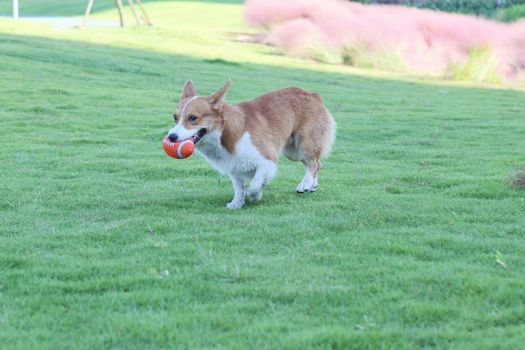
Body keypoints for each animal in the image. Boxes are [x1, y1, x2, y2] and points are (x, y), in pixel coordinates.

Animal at [166, 80, 334, 209]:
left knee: (313, 164)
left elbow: (253, 186)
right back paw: (312, 185)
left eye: (193, 118)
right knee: (317, 163)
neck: (223, 134)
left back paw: (305, 184)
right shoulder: (234, 167)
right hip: (292, 151)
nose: (171, 137)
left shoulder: (267, 160)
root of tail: (313, 95)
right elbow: (239, 188)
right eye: (175, 117)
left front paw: (255, 196)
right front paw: (236, 203)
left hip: (302, 145)